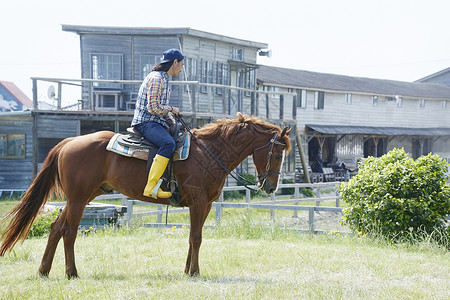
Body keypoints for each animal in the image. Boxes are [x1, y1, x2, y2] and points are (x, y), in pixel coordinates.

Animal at [0, 113, 292, 278]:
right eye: (278, 154)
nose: (271, 187)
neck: (209, 152)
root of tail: (69, 142)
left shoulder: (205, 204)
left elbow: (192, 237)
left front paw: (187, 270)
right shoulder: (199, 202)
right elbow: (197, 238)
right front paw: (196, 272)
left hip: (82, 197)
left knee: (55, 228)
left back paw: (44, 271)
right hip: (78, 199)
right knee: (69, 232)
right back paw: (72, 273)